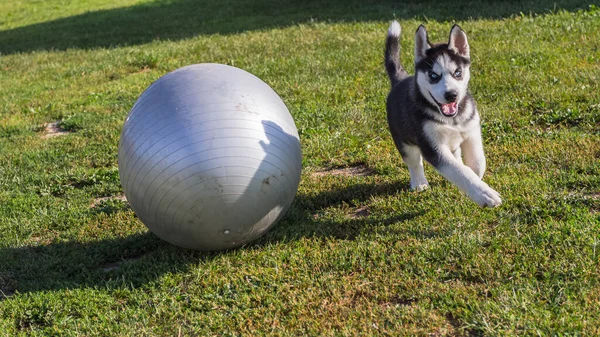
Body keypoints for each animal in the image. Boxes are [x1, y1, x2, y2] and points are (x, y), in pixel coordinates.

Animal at [384, 21, 502, 206]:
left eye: (458, 73)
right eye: (433, 75)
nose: (451, 95)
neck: (453, 120)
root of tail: (399, 80)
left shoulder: (472, 132)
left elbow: (477, 163)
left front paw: (476, 182)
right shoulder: (432, 147)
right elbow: (460, 171)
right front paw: (484, 193)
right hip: (403, 140)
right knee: (414, 162)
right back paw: (419, 183)